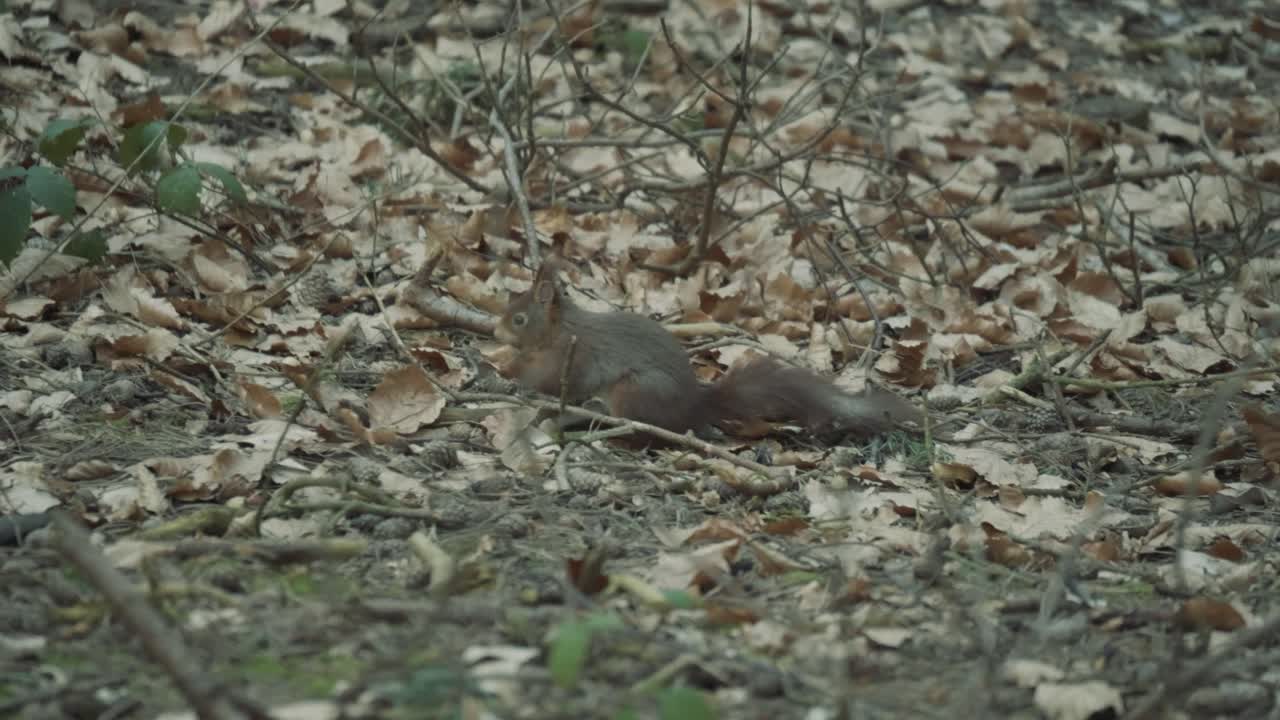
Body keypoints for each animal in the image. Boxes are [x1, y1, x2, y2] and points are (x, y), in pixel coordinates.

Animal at [494, 263, 919, 440]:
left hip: (635, 392)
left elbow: (550, 381)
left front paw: (509, 374)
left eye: (519, 319)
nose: (496, 330)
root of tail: (693, 407)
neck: (556, 332)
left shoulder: (573, 357)